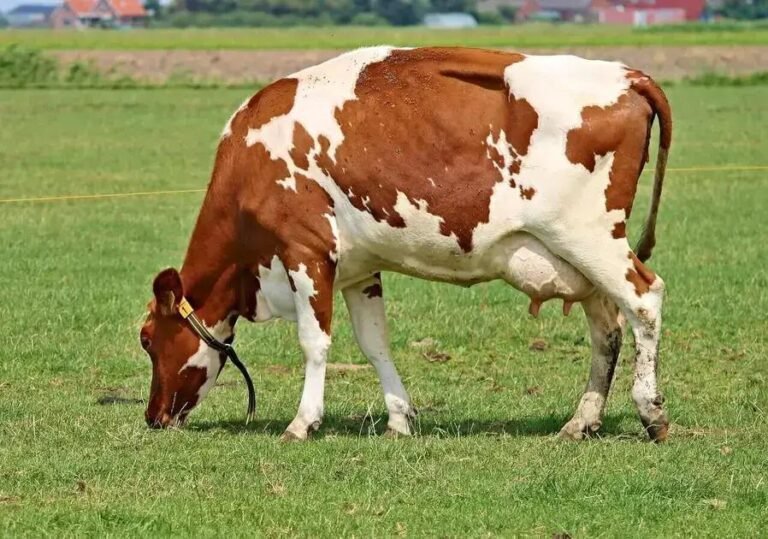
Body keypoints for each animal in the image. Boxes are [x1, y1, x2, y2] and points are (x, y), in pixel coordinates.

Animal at [140, 47, 672, 442]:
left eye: (147, 339)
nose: (152, 416)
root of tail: (628, 75)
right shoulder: (359, 269)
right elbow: (375, 343)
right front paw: (399, 419)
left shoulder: (306, 253)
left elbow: (314, 341)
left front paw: (302, 422)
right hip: (579, 261)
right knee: (607, 330)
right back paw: (581, 421)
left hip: (591, 239)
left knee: (645, 300)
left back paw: (651, 412)